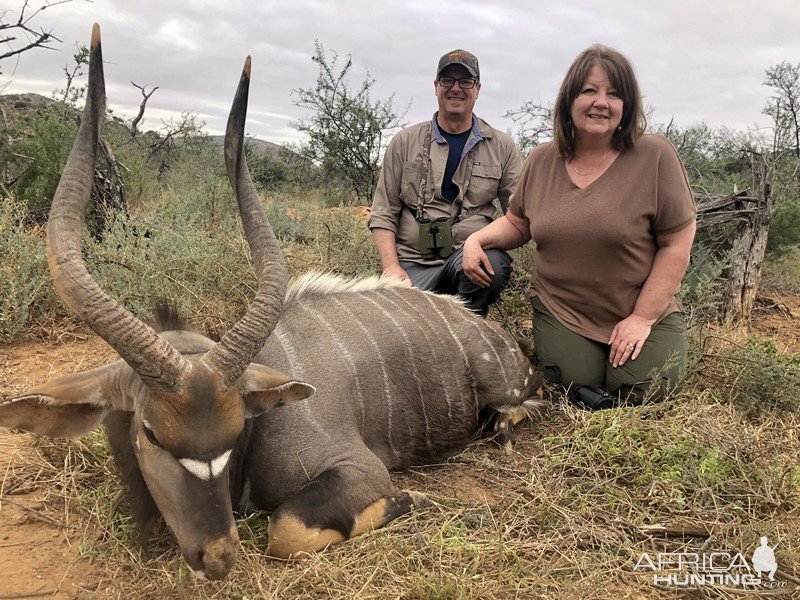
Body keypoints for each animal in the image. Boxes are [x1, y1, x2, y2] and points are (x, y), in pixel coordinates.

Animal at [0, 24, 544, 580]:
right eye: (150, 433)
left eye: (236, 428)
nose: (217, 556)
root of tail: (493, 333)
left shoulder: (359, 470)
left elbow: (286, 531)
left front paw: (411, 499)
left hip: (507, 392)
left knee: (525, 405)